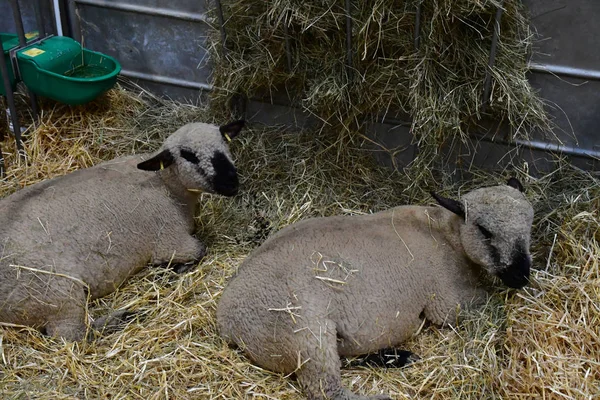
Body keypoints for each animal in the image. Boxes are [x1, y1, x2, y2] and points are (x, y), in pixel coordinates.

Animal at [0, 119, 245, 340]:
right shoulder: (171, 241)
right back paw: (122, 318)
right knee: (71, 336)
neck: (167, 186)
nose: (232, 182)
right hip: (56, 291)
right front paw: (169, 270)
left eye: (224, 141)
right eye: (188, 155)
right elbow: (200, 249)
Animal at [217, 179, 536, 400]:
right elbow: (488, 304)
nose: (521, 275)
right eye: (484, 230)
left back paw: (395, 357)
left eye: (530, 222)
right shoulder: (448, 302)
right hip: (302, 330)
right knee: (325, 388)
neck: (449, 234)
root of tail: (225, 321)